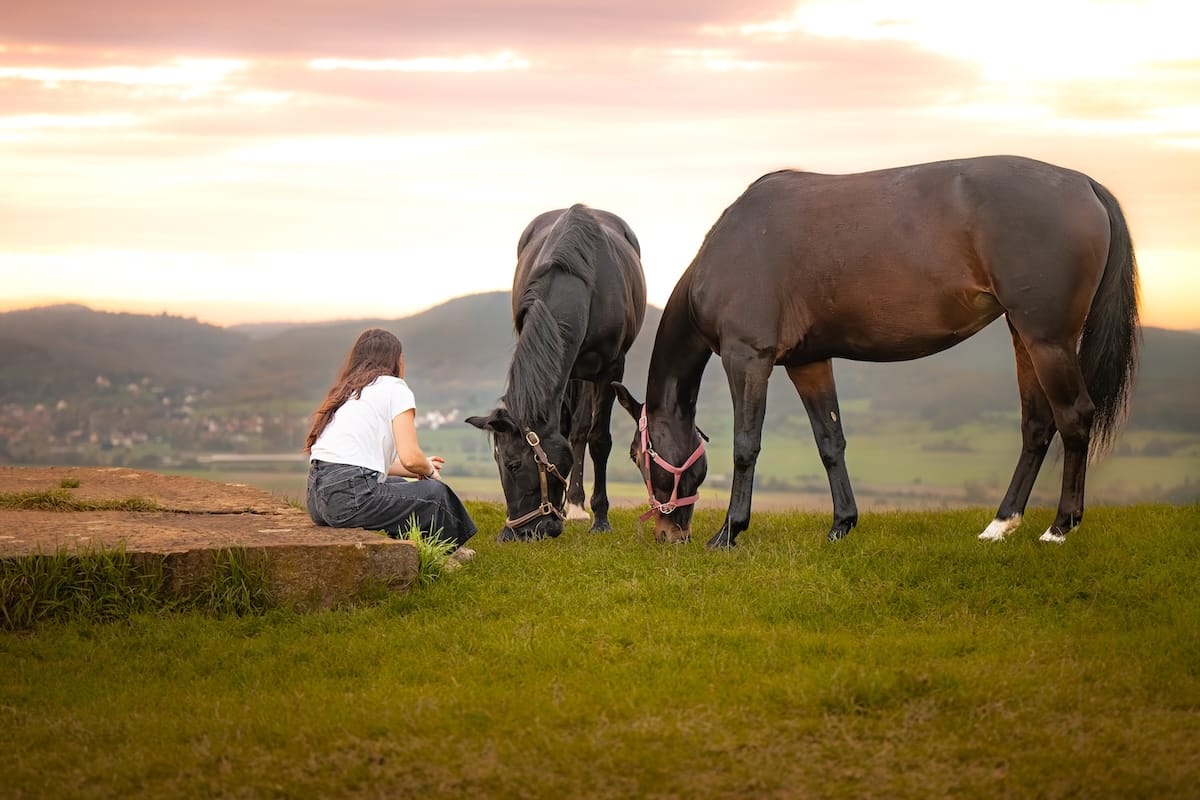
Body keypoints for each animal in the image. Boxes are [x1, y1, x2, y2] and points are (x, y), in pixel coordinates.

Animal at [467, 204, 647, 540]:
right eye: (496, 463)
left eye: (513, 465)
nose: (514, 534)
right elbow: (564, 429)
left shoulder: (611, 369)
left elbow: (599, 439)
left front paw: (601, 519)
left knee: (582, 431)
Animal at [613, 155, 1139, 548]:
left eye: (638, 456)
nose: (667, 534)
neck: (730, 248)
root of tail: (1085, 184)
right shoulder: (808, 362)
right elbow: (831, 441)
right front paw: (842, 523)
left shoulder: (748, 358)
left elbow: (747, 445)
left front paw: (728, 533)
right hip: (1024, 335)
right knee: (1037, 424)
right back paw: (1000, 523)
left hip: (1047, 339)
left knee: (1075, 417)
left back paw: (1060, 527)